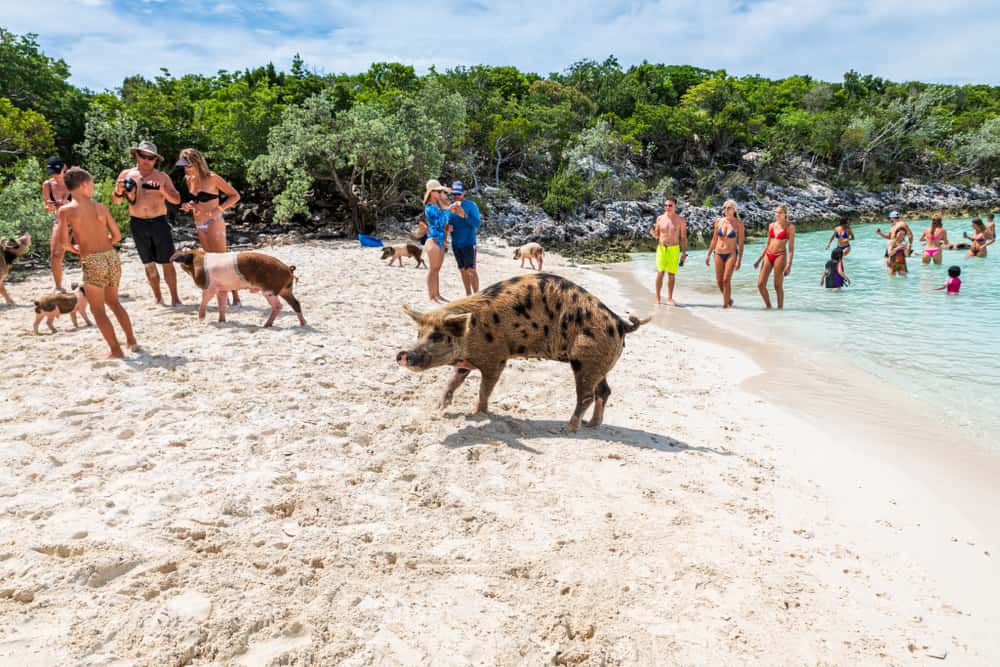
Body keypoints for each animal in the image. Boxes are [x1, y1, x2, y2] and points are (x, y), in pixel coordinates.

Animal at [170, 248, 306, 327]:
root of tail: (288, 269)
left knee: (279, 306)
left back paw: (266, 325)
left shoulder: (210, 287)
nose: (172, 257)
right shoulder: (222, 289)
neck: (198, 261)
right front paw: (221, 321)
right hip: (285, 290)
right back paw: (302, 324)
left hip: (269, 290)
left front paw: (201, 319)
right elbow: (222, 305)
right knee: (296, 303)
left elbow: (204, 300)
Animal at [396, 273, 649, 431]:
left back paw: (568, 428)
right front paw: (438, 409)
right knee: (604, 391)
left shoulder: (497, 358)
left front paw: (476, 413)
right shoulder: (466, 362)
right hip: (599, 364)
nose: (403, 354)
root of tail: (620, 323)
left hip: (585, 359)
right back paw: (592, 425)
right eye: (419, 333)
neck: (471, 334)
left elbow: (484, 389)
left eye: (437, 336)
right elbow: (452, 382)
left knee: (586, 395)